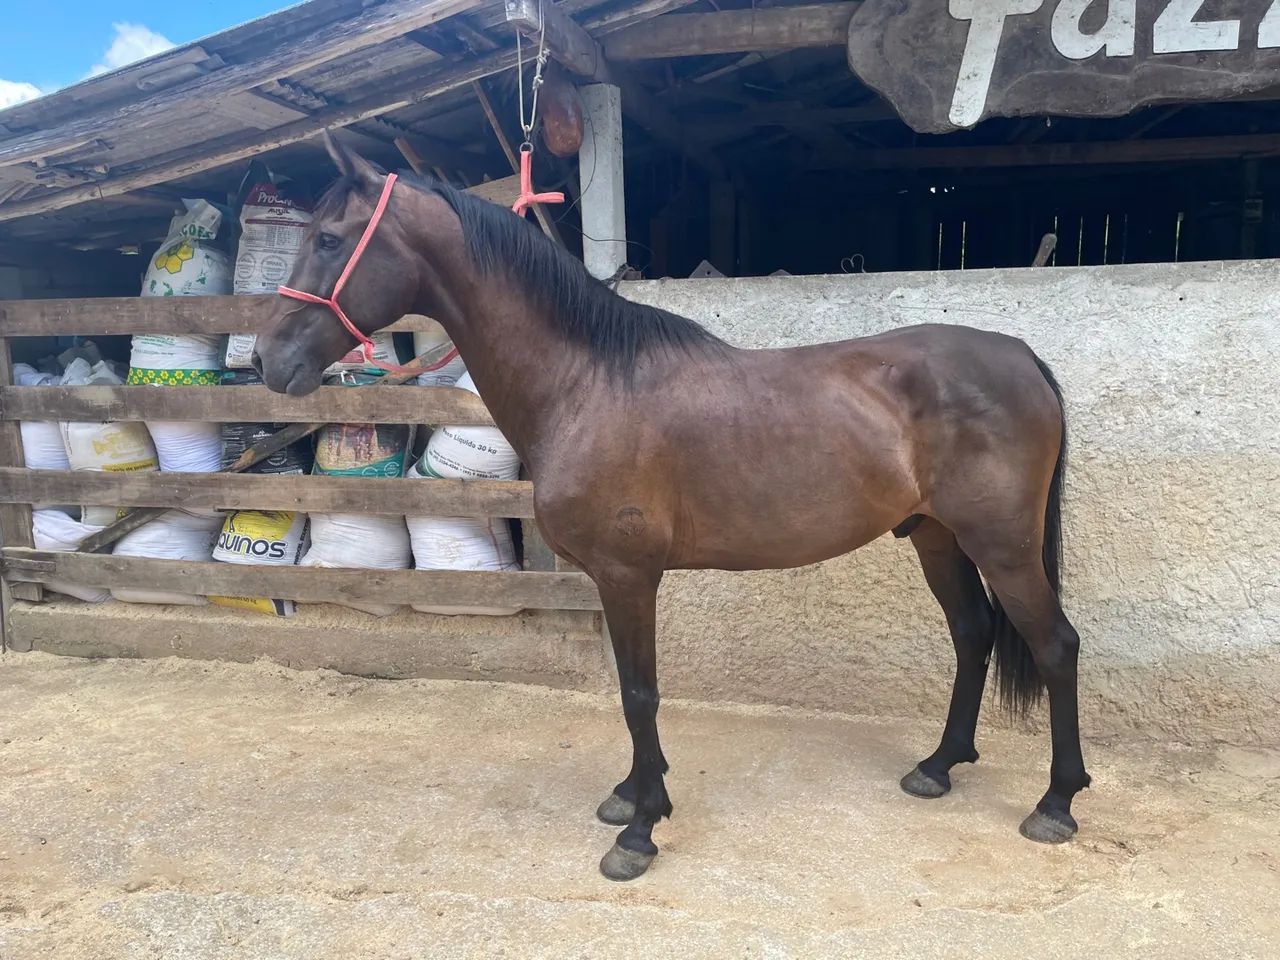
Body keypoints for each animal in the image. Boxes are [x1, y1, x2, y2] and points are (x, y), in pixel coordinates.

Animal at [251, 133, 1090, 882]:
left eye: (329, 238)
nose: (267, 361)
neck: (588, 384)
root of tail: (1022, 356)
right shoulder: (611, 579)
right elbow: (632, 692)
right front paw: (630, 796)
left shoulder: (629, 575)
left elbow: (640, 695)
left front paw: (641, 832)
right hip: (937, 538)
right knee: (973, 635)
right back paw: (939, 766)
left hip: (1002, 544)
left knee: (1055, 646)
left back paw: (1056, 803)